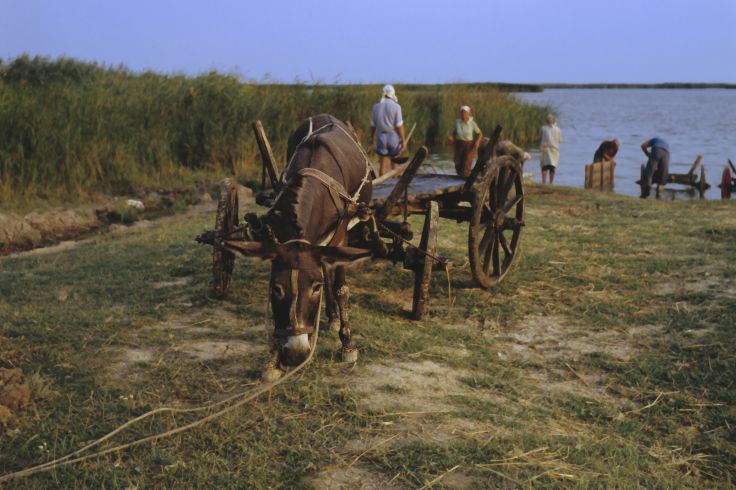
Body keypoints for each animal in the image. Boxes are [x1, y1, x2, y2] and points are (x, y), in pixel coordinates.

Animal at [224, 116, 374, 382]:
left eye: (315, 288)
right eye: (276, 288)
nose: (295, 354)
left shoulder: (342, 236)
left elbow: (340, 288)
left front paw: (347, 345)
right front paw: (273, 358)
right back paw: (331, 318)